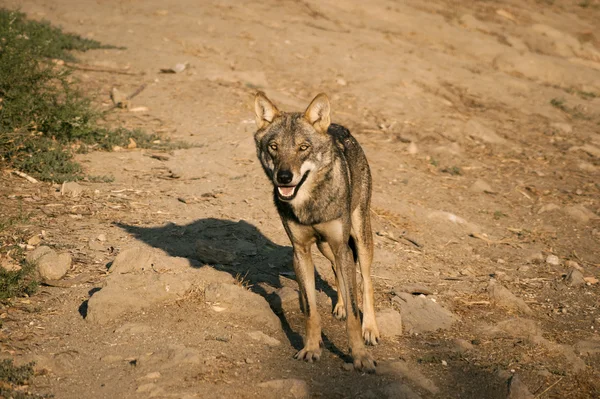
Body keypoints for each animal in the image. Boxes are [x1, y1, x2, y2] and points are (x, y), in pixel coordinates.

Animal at [253, 90, 380, 372]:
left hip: (359, 237)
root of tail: (338, 127)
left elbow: (354, 313)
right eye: (274, 147)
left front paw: (360, 356)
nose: (284, 177)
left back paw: (371, 329)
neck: (309, 205)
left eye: (303, 147)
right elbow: (311, 311)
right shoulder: (301, 251)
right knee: (338, 272)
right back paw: (341, 305)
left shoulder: (341, 245)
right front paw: (311, 349)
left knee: (365, 281)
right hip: (326, 247)